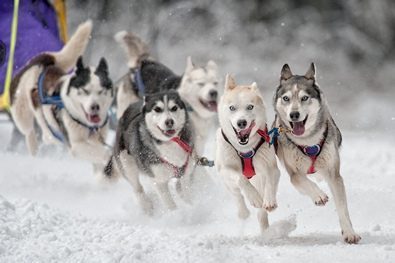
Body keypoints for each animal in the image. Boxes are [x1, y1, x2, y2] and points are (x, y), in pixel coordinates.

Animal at [10, 20, 114, 177]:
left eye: (101, 91)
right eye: (85, 91)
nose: (95, 107)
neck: (88, 126)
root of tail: (43, 61)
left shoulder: (96, 140)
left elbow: (98, 160)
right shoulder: (76, 145)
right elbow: (106, 153)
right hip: (21, 113)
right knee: (29, 131)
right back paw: (35, 147)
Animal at [217, 75, 282, 234]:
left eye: (250, 107)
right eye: (232, 108)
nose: (241, 122)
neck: (245, 149)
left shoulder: (272, 168)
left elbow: (270, 180)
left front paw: (269, 201)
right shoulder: (226, 169)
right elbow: (241, 179)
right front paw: (254, 197)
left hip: (259, 179)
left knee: (261, 211)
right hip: (228, 183)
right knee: (237, 195)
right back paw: (244, 211)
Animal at [272, 63, 362, 244]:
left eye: (304, 98)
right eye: (286, 98)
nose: (294, 114)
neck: (308, 142)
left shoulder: (334, 174)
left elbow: (342, 207)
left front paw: (349, 233)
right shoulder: (294, 174)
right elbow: (302, 180)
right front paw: (319, 196)